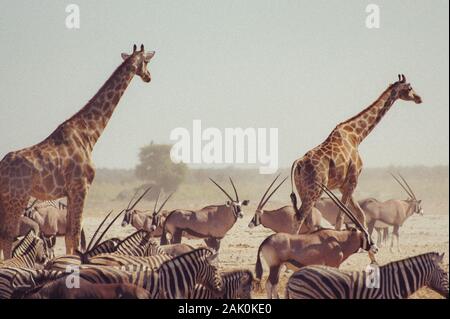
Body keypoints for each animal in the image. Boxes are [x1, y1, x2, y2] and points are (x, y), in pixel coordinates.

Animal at [0, 43, 156, 258]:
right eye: (146, 61)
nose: (149, 76)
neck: (89, 134)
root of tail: (1, 166)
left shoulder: (70, 191)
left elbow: (69, 235)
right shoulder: (81, 186)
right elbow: (74, 234)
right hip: (16, 197)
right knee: (8, 235)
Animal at [290, 74, 424, 235]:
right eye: (409, 87)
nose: (419, 98)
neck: (357, 136)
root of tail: (298, 164)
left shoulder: (344, 185)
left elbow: (360, 215)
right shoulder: (353, 180)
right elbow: (341, 217)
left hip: (303, 189)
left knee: (306, 219)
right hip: (315, 189)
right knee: (300, 217)